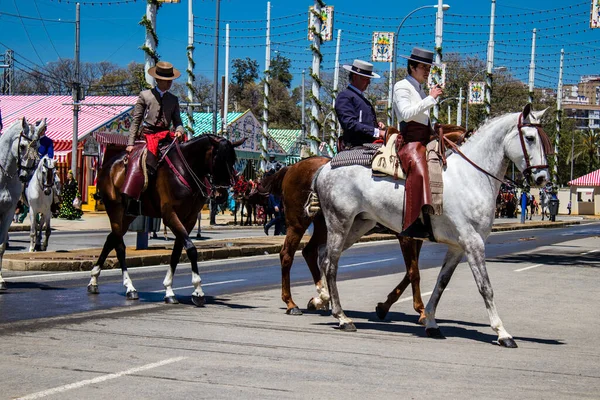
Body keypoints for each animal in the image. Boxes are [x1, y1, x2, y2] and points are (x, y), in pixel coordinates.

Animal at [0, 117, 44, 290]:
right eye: (23, 146)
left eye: (38, 146)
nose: (26, 175)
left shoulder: (9, 211)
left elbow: (1, 246)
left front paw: (0, 280)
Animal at [89, 134, 244, 306]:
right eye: (217, 159)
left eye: (233, 159)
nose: (221, 195)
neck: (185, 170)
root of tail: (107, 165)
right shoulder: (170, 215)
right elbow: (191, 249)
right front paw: (197, 291)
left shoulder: (189, 220)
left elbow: (177, 252)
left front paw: (169, 289)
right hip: (115, 210)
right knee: (119, 246)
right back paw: (129, 287)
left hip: (129, 215)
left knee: (111, 240)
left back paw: (94, 280)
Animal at [260, 156, 424, 322]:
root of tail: (293, 167)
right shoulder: (405, 236)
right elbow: (413, 272)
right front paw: (421, 310)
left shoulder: (419, 238)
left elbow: (410, 272)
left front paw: (385, 306)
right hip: (298, 223)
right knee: (287, 255)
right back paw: (291, 303)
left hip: (325, 226)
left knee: (310, 251)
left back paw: (322, 296)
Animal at [312, 105, 552, 346]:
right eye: (530, 138)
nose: (542, 178)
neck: (471, 177)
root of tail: (325, 167)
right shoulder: (473, 243)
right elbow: (485, 287)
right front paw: (502, 332)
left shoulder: (457, 247)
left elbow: (441, 282)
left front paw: (430, 322)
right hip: (339, 222)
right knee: (331, 264)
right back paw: (342, 317)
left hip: (358, 225)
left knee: (323, 256)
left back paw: (322, 299)